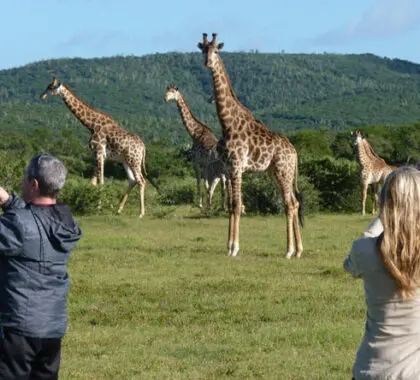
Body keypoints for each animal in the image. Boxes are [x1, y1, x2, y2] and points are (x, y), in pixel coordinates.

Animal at [39, 76, 148, 218]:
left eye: (50, 87)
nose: (42, 96)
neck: (92, 124)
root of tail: (143, 147)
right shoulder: (95, 153)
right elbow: (93, 181)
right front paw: (87, 202)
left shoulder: (99, 152)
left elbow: (100, 181)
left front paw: (99, 207)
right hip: (126, 161)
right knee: (132, 180)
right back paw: (119, 209)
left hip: (134, 160)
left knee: (141, 181)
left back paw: (141, 213)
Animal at [197, 33, 302, 258]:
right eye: (203, 50)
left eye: (216, 51)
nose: (207, 63)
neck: (227, 123)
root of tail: (295, 152)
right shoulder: (229, 168)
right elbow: (230, 205)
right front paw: (228, 246)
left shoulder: (237, 167)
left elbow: (237, 205)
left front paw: (234, 248)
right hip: (276, 172)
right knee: (295, 202)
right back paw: (299, 250)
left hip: (283, 170)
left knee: (289, 204)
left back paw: (289, 250)